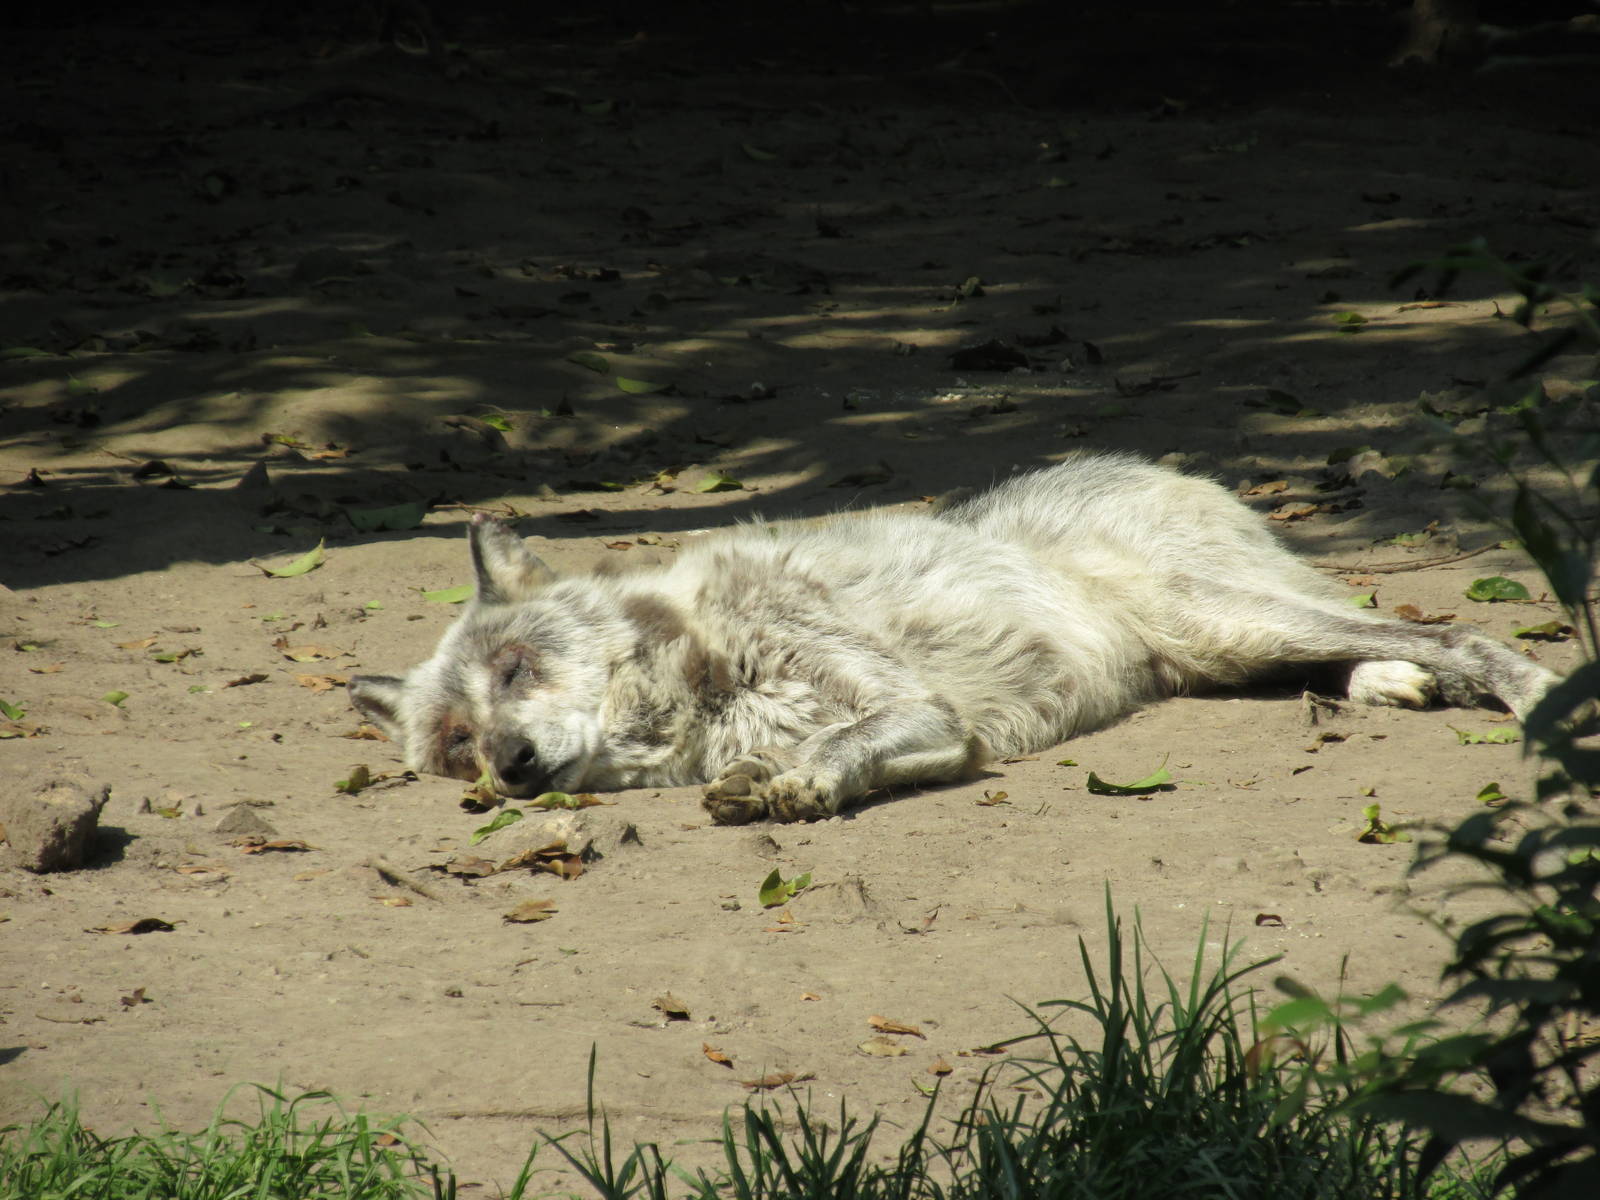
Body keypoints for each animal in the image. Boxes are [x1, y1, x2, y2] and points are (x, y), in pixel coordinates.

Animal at [349, 452, 1557, 824]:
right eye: (454, 743)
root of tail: (1157, 463)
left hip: (1219, 623)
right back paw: (1385, 679)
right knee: (1378, 646)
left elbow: (836, 747)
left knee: (1460, 633)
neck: (701, 681)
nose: (507, 764)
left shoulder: (923, 713)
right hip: (1219, 655)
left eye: (515, 669)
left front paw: (792, 784)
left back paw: (1535, 696)